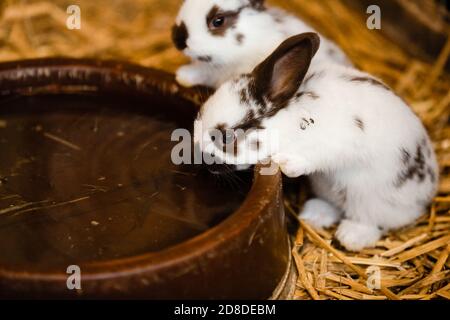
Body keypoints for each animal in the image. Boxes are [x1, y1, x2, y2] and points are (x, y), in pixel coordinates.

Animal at [194, 33, 440, 252]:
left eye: (226, 137)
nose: (203, 161)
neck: (294, 118)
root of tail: (427, 193)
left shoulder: (339, 141)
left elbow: (318, 155)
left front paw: (287, 164)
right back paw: (314, 214)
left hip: (372, 200)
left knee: (373, 222)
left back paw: (350, 236)